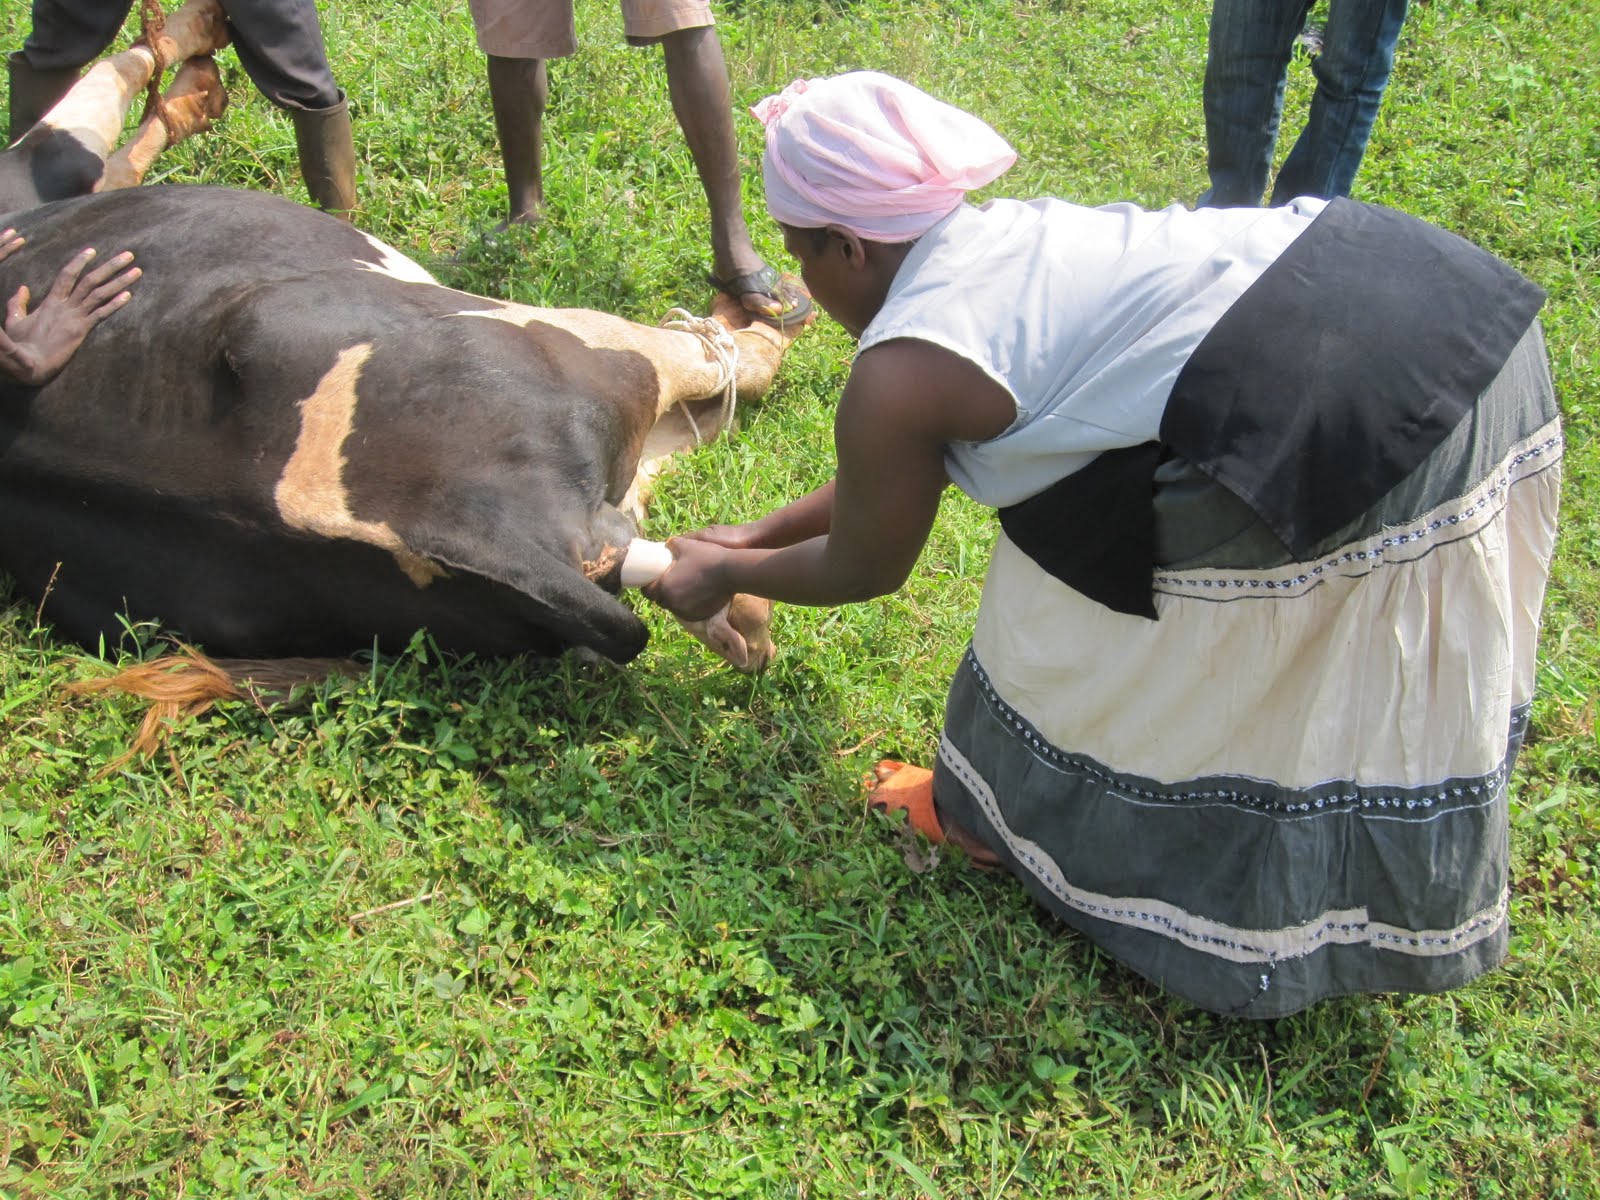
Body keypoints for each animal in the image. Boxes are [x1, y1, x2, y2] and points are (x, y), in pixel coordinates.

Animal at [0, 0, 800, 682]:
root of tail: (464, 524)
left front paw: (191, 74)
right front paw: (189, 54)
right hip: (569, 343)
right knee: (719, 368)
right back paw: (769, 311)